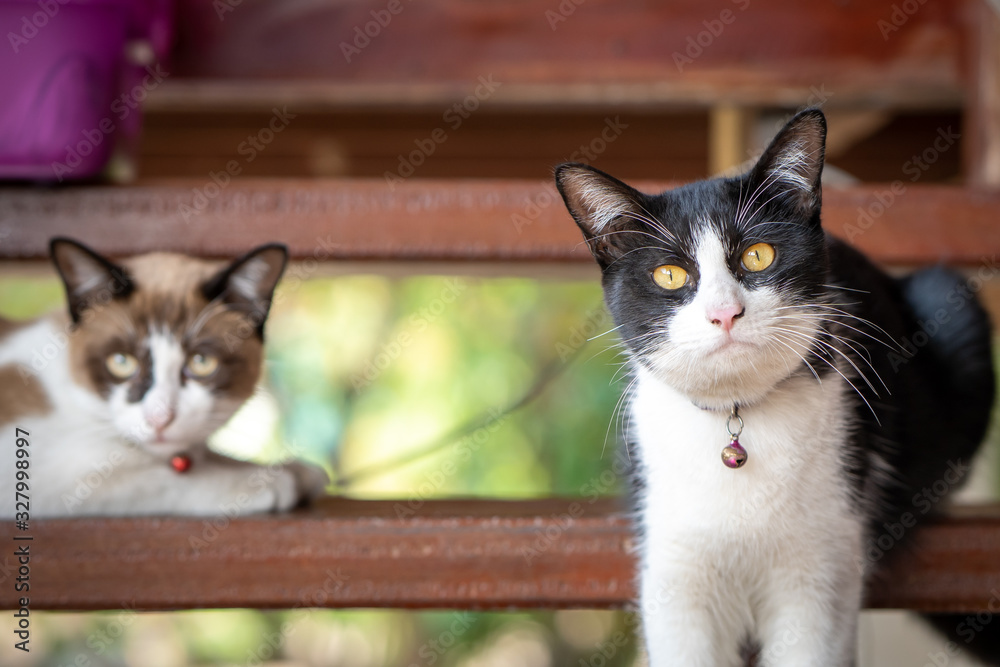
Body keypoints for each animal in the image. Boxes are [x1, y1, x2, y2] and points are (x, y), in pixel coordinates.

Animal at [0, 237, 326, 520]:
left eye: (201, 362)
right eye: (121, 362)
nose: (159, 418)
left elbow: (208, 457)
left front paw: (294, 470)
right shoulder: (39, 475)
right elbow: (153, 479)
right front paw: (264, 482)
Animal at [556, 111, 992, 667]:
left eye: (758, 256)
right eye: (669, 274)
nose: (725, 313)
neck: (735, 413)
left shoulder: (820, 571)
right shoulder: (675, 569)